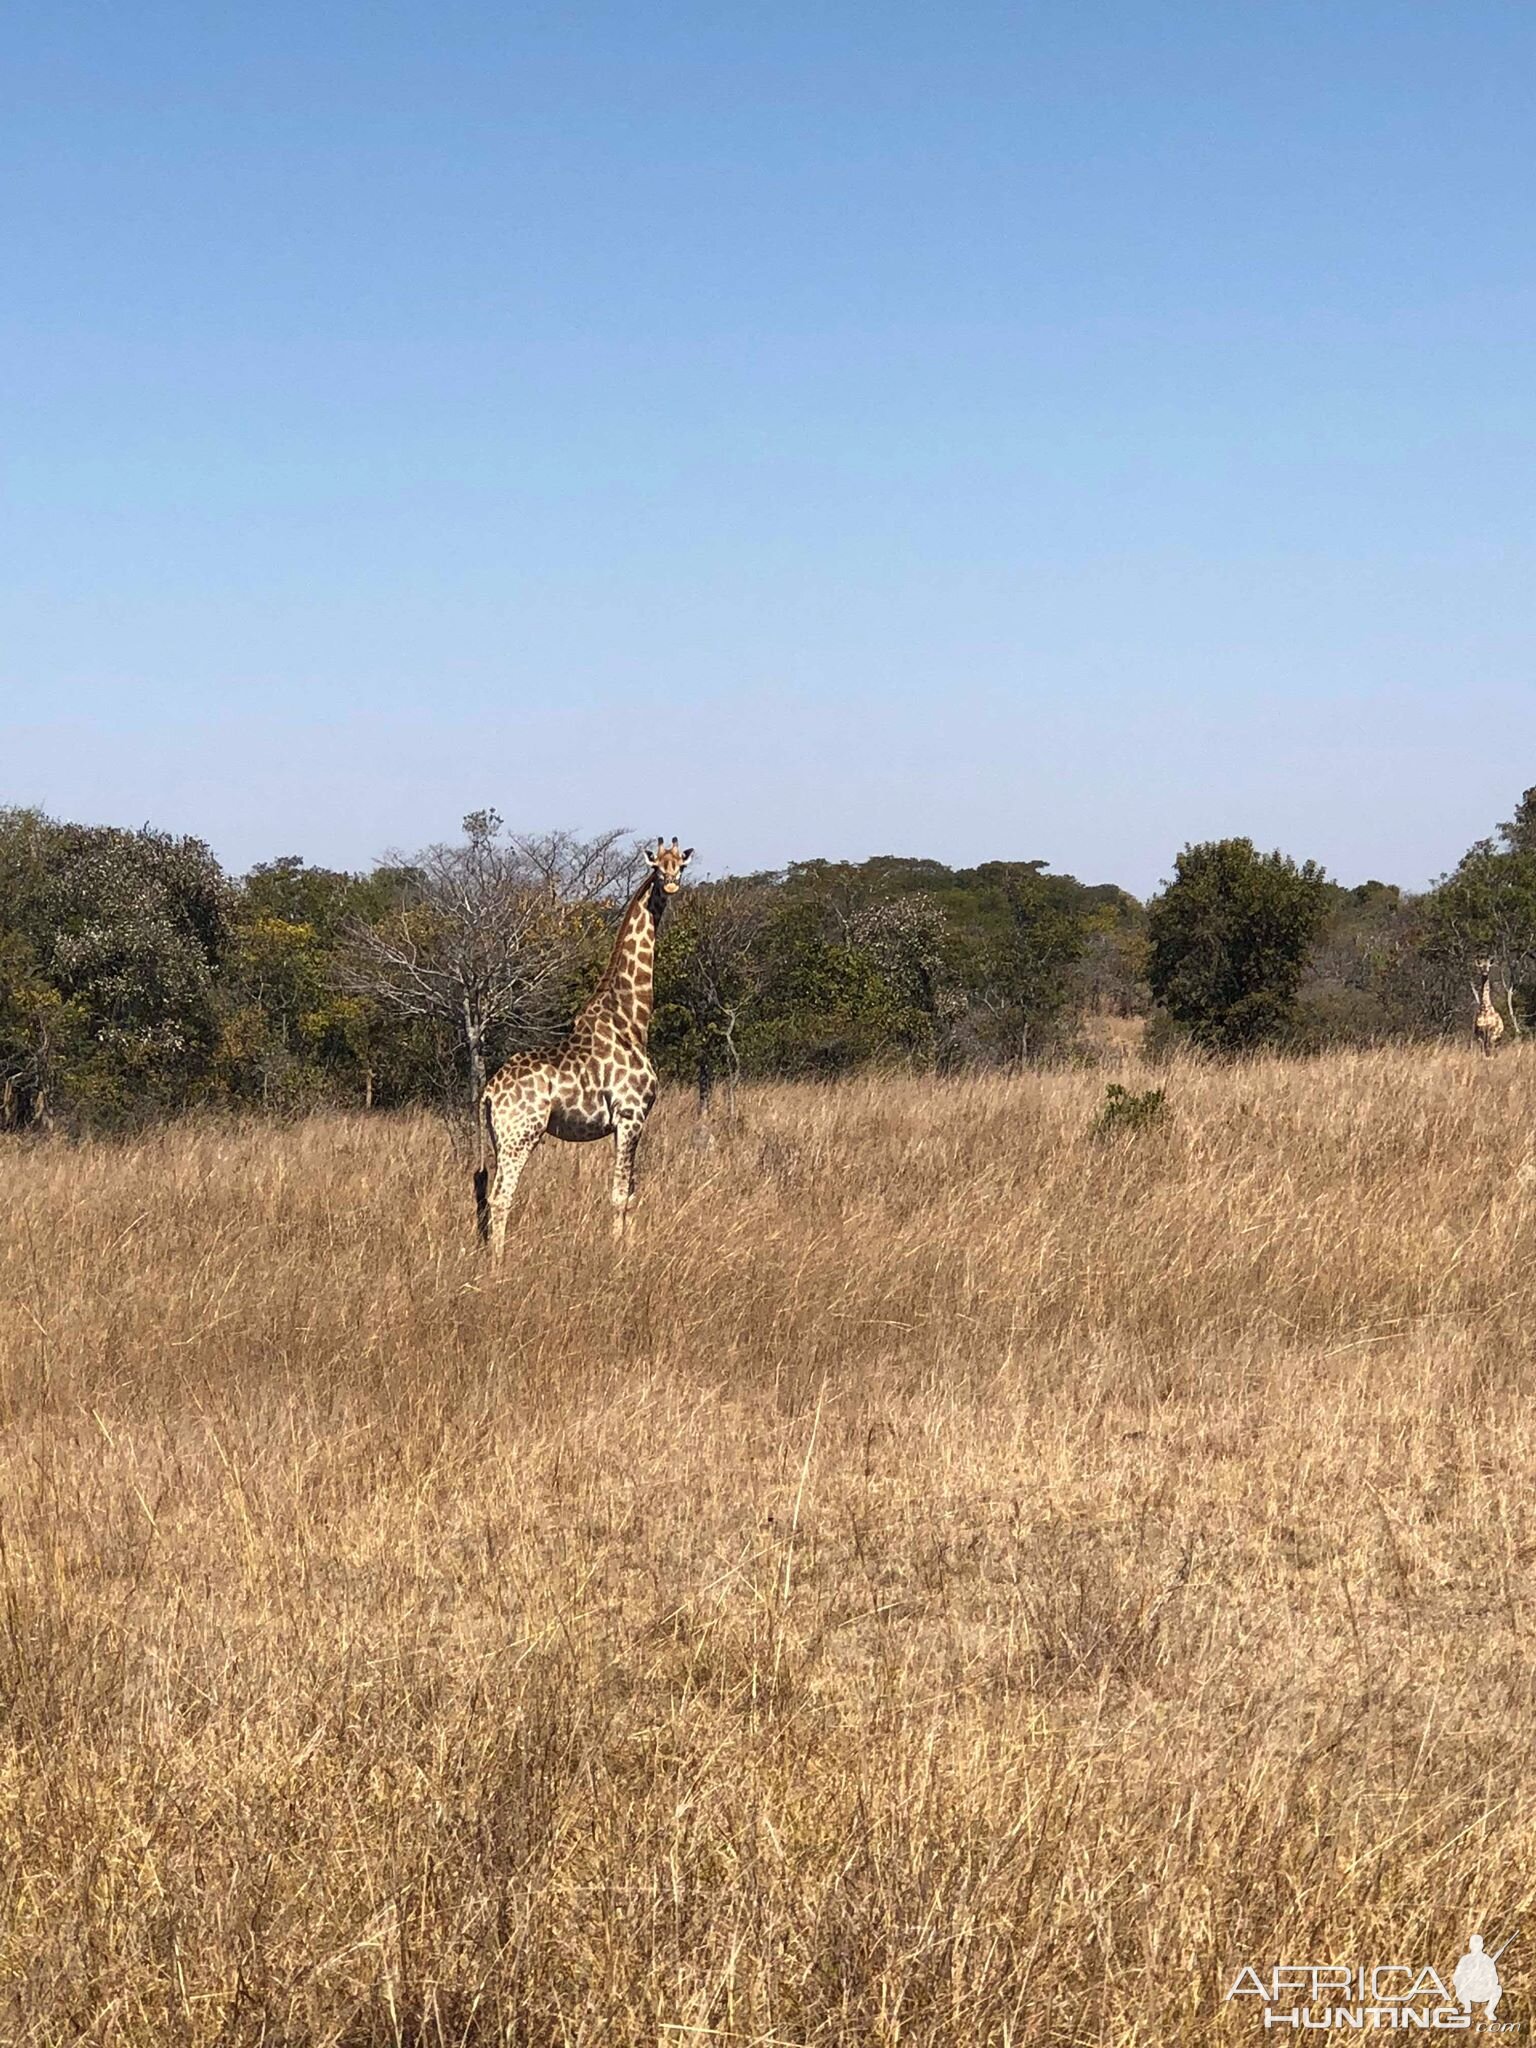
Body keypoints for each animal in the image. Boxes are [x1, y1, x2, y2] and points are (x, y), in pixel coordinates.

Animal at [479, 827, 696, 1245]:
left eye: (681, 863)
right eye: (657, 866)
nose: (671, 883)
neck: (630, 1020)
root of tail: (489, 1093)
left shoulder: (627, 1123)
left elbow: (631, 1192)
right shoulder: (631, 1114)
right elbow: (619, 1195)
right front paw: (618, 1252)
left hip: (500, 1138)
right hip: (521, 1134)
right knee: (501, 1197)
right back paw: (500, 1261)